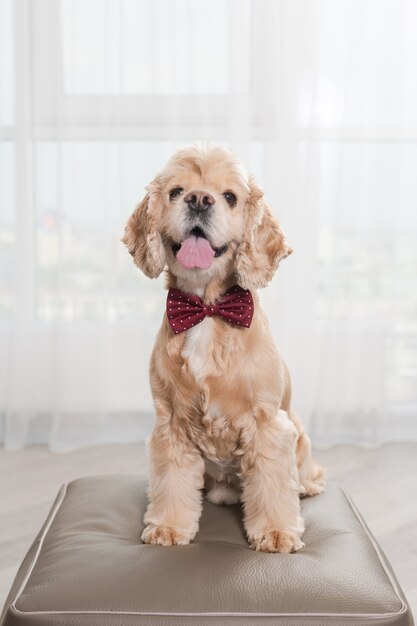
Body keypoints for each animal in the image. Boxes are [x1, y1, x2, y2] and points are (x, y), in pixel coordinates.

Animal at [122, 143, 324, 552]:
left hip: (297, 430)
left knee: (302, 471)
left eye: (230, 197)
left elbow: (273, 485)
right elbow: (171, 482)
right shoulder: (171, 422)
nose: (199, 199)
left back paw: (307, 484)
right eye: (176, 192)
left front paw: (276, 532)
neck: (207, 311)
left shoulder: (268, 424)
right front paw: (169, 527)